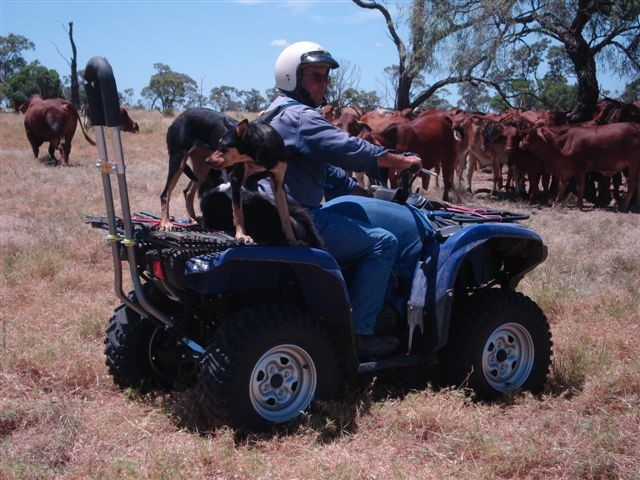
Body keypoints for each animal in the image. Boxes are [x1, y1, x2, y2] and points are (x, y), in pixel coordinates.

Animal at [208, 118, 302, 246]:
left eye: (222, 146)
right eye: (219, 144)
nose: (206, 160)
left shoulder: (278, 183)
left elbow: (285, 215)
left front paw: (292, 239)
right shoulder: (236, 178)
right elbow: (238, 212)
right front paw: (241, 235)